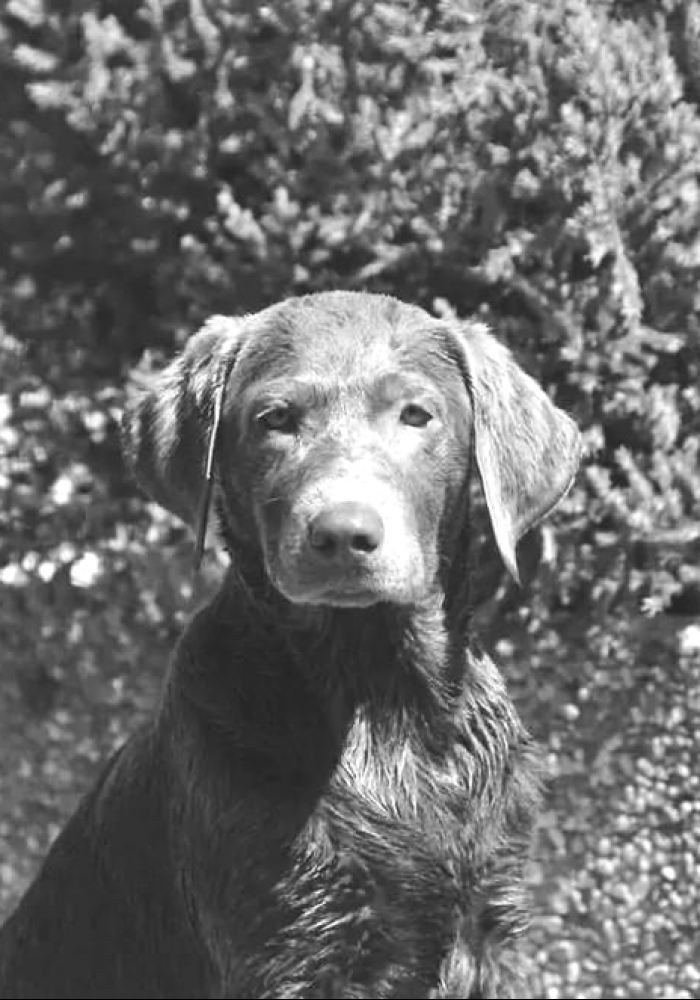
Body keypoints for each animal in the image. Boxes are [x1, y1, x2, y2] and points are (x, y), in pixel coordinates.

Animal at [0, 292, 581, 998]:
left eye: (417, 415)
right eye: (275, 419)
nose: (345, 534)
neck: (378, 694)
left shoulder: (489, 931)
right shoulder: (289, 941)